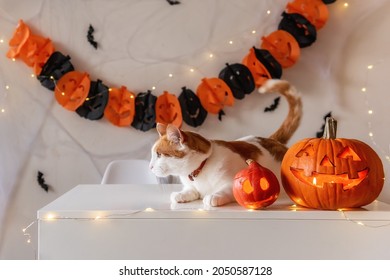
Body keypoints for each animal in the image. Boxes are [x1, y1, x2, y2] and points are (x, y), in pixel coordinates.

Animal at [149, 78, 302, 206]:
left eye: (159, 154)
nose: (150, 167)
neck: (200, 170)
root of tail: (270, 139)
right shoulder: (192, 186)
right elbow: (190, 190)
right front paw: (181, 194)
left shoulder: (234, 183)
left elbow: (226, 190)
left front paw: (213, 196)